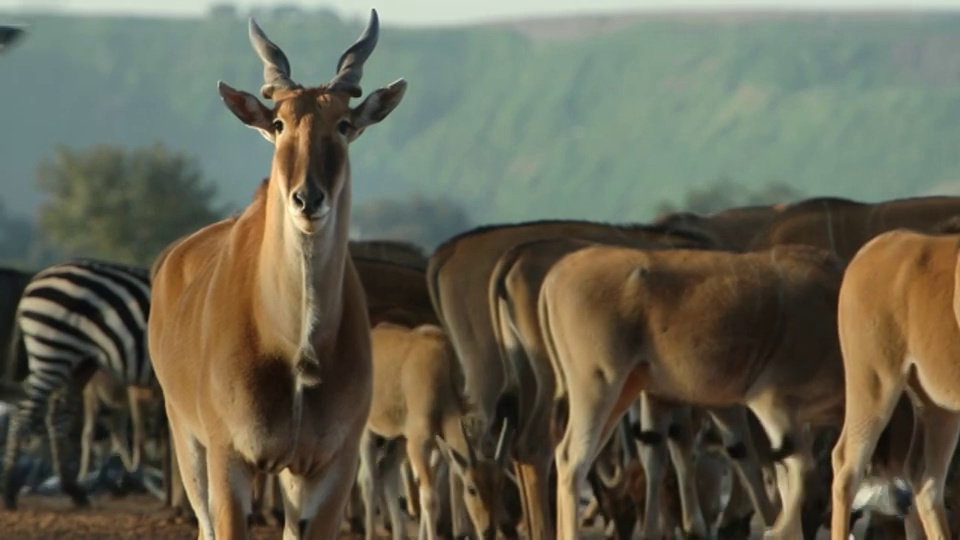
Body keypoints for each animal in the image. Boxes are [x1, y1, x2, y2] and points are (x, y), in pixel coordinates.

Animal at [0, 260, 154, 508]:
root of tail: (34, 281)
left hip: (77, 364)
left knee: (57, 418)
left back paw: (73, 490)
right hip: (52, 352)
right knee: (22, 416)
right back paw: (8, 493)